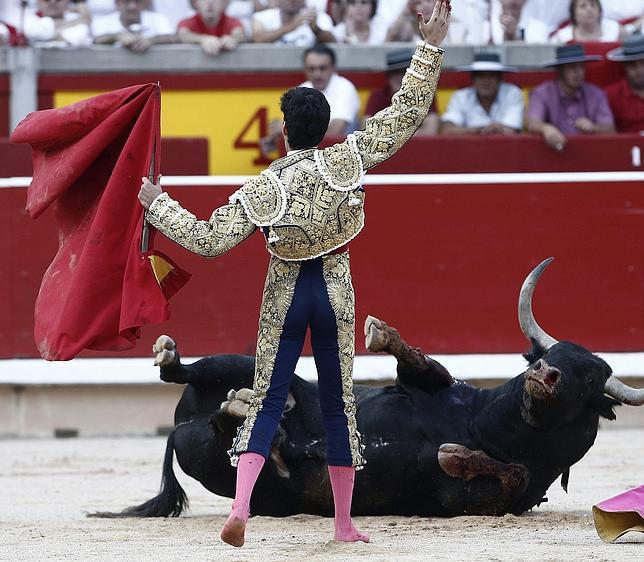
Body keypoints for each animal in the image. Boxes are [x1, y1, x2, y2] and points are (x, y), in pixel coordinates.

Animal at [97, 258, 644, 516]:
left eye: (591, 377)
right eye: (550, 355)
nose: (543, 375)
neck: (490, 429)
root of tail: (177, 427)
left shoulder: (482, 498)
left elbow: (505, 472)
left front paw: (455, 454)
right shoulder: (423, 384)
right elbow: (421, 363)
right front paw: (380, 333)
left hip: (217, 456)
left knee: (225, 430)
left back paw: (251, 420)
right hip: (246, 363)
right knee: (194, 375)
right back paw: (178, 360)